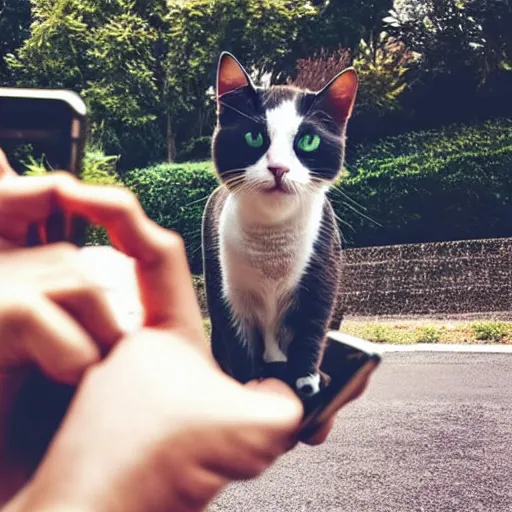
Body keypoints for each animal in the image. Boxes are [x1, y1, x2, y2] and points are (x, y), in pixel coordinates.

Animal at [202, 51, 358, 396]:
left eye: (309, 141)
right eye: (254, 136)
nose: (278, 168)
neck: (271, 240)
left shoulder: (319, 280)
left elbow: (310, 336)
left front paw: (308, 382)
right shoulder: (230, 297)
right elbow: (240, 349)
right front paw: (251, 383)